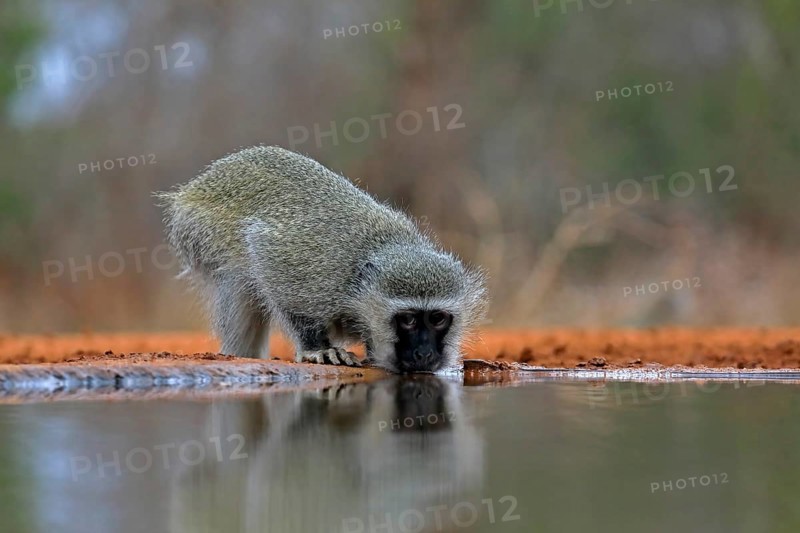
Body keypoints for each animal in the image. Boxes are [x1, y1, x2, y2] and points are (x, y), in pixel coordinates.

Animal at [158, 146, 486, 373]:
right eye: (407, 320)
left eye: (438, 319)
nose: (424, 354)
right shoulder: (311, 269)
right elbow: (268, 264)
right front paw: (317, 348)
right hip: (198, 230)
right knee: (240, 283)